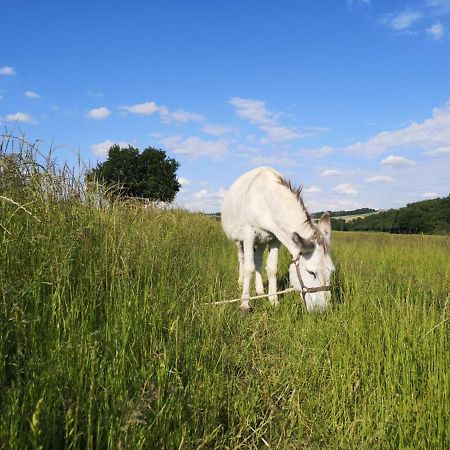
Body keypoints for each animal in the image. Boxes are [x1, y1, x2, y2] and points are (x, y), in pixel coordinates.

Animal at [221, 167, 334, 312]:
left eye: (331, 271)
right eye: (311, 272)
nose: (322, 310)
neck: (265, 201)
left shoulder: (275, 238)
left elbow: (272, 269)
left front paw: (273, 301)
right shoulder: (249, 234)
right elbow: (248, 268)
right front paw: (245, 303)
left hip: (262, 240)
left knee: (258, 260)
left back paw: (260, 291)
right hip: (240, 240)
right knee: (242, 258)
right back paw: (241, 283)